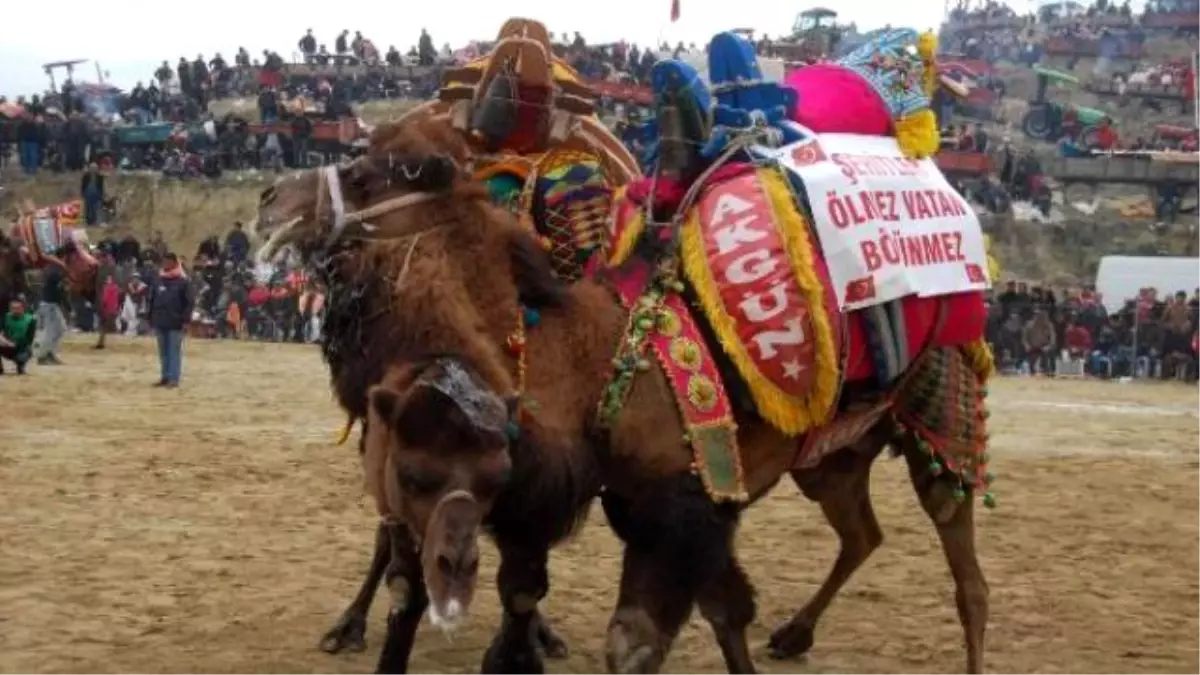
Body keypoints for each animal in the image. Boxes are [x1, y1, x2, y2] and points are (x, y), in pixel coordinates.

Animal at [258, 118, 988, 667]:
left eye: (363, 173)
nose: (271, 197)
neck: (593, 362)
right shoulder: (641, 498)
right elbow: (721, 610)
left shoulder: (681, 500)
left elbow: (636, 642)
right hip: (832, 457)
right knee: (862, 532)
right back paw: (794, 634)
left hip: (942, 421)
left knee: (968, 580)